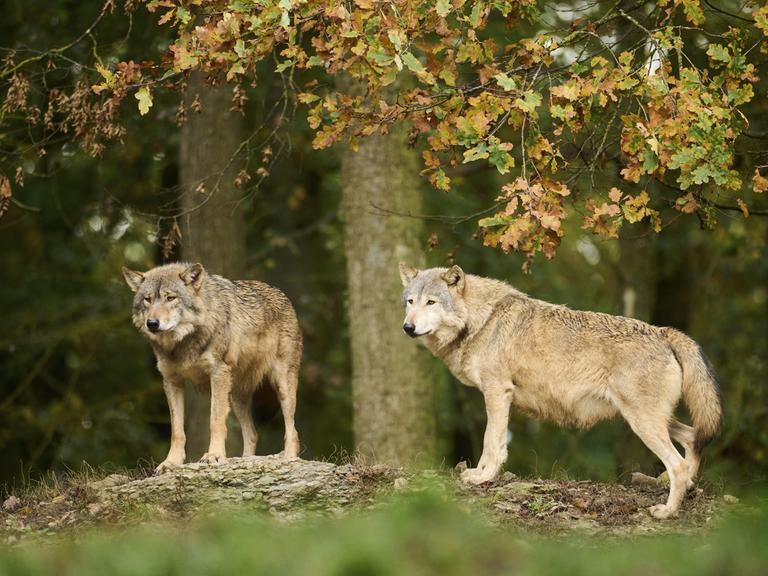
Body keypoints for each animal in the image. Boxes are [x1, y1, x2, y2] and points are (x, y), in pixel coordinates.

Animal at [121, 260, 302, 472]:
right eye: (147, 300)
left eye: (170, 298)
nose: (152, 323)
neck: (182, 343)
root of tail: (282, 294)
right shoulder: (172, 382)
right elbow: (177, 430)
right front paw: (171, 462)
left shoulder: (217, 374)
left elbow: (215, 422)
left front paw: (214, 455)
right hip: (236, 398)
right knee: (253, 433)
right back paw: (245, 460)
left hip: (283, 387)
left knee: (292, 430)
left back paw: (289, 459)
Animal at [400, 264, 724, 520]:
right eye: (410, 301)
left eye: (431, 302)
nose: (408, 327)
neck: (481, 320)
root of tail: (664, 332)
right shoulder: (497, 397)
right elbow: (491, 441)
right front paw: (478, 475)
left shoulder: (497, 393)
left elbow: (491, 443)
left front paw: (483, 478)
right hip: (648, 420)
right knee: (693, 438)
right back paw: (686, 490)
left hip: (642, 423)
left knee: (678, 464)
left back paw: (667, 512)